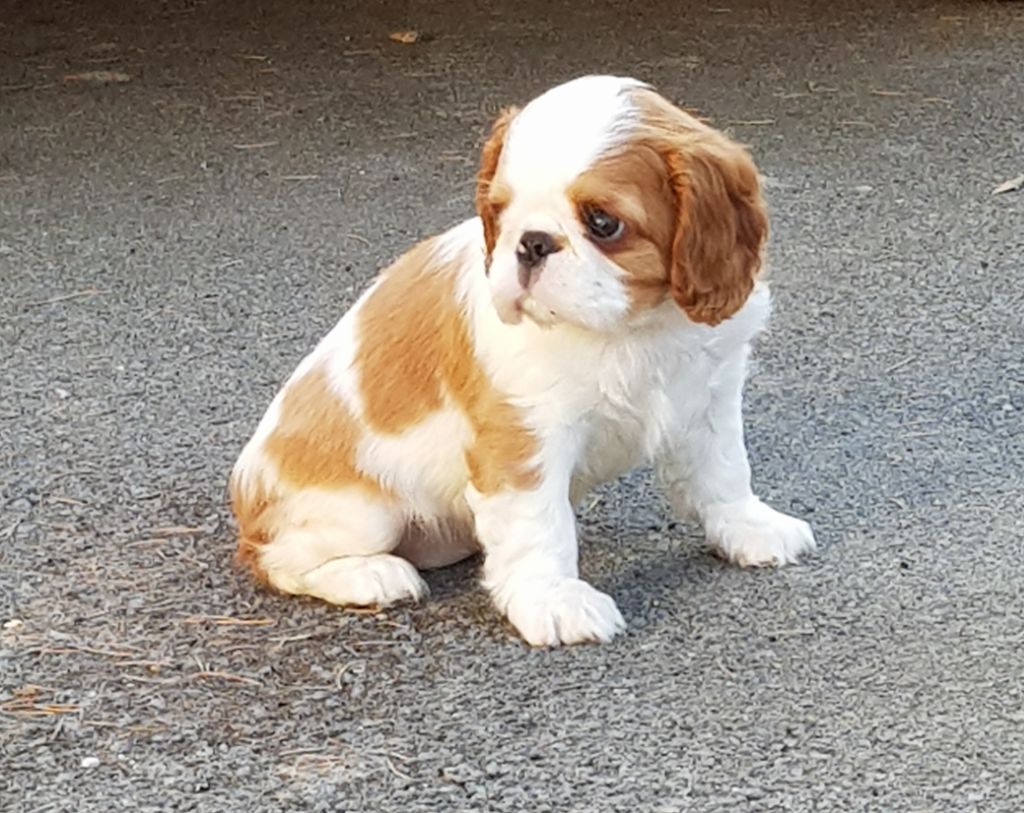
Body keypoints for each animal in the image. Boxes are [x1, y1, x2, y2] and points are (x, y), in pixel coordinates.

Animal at [232, 75, 815, 647]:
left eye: (602, 222)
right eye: (500, 211)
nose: (531, 243)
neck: (633, 328)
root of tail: (244, 491)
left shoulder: (709, 398)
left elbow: (724, 471)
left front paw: (750, 527)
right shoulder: (524, 438)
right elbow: (540, 526)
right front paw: (554, 600)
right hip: (359, 514)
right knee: (275, 559)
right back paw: (370, 574)